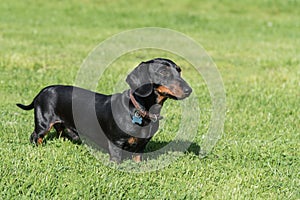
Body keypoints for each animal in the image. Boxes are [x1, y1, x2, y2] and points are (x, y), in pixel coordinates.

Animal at [17, 58, 192, 162]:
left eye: (179, 71)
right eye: (163, 72)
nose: (189, 90)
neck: (138, 110)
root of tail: (42, 91)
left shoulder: (141, 147)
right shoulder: (116, 144)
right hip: (43, 124)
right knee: (35, 137)